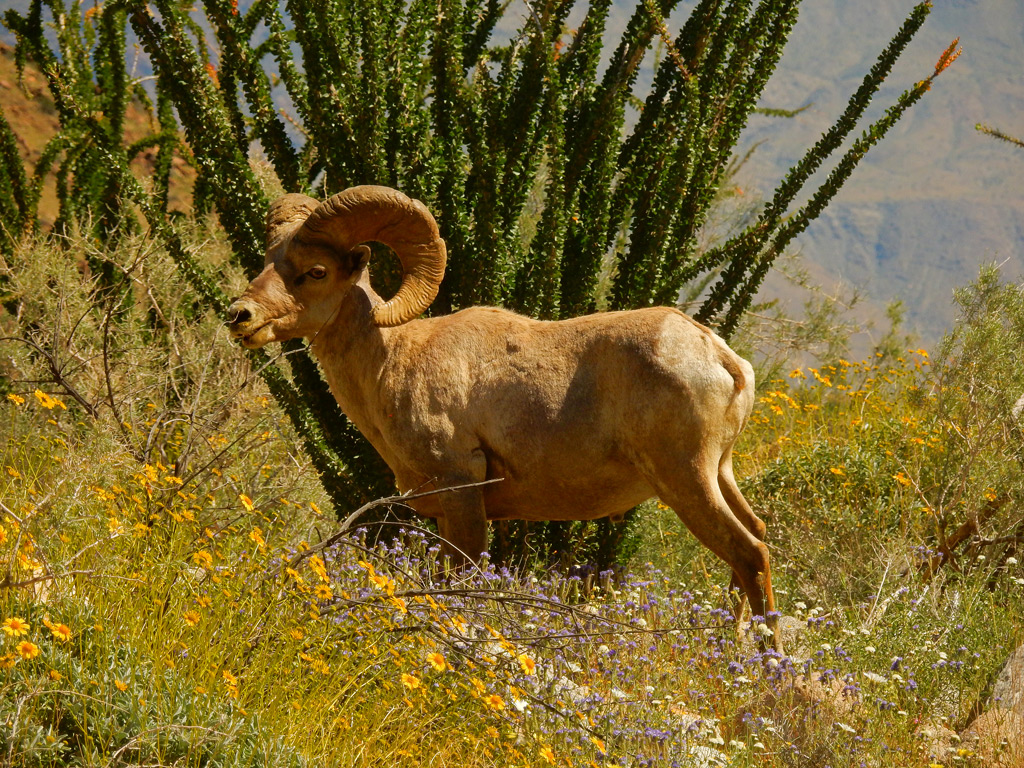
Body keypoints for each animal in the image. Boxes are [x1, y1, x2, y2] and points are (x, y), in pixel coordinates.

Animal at [228, 186, 778, 651]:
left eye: (316, 271)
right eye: (268, 262)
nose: (240, 316)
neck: (395, 360)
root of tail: (724, 359)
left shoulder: (462, 495)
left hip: (685, 479)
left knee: (750, 551)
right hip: (718, 472)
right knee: (754, 537)